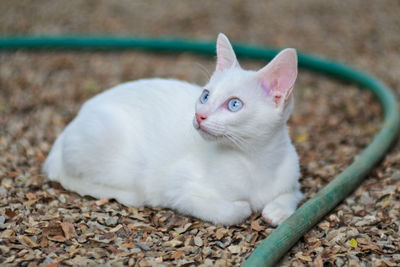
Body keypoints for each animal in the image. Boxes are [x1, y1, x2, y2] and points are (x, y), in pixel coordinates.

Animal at [42, 33, 302, 226]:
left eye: (234, 104)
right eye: (205, 96)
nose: (199, 115)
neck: (255, 160)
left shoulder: (293, 181)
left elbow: (294, 196)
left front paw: (277, 211)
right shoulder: (177, 189)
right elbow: (230, 212)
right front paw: (243, 207)